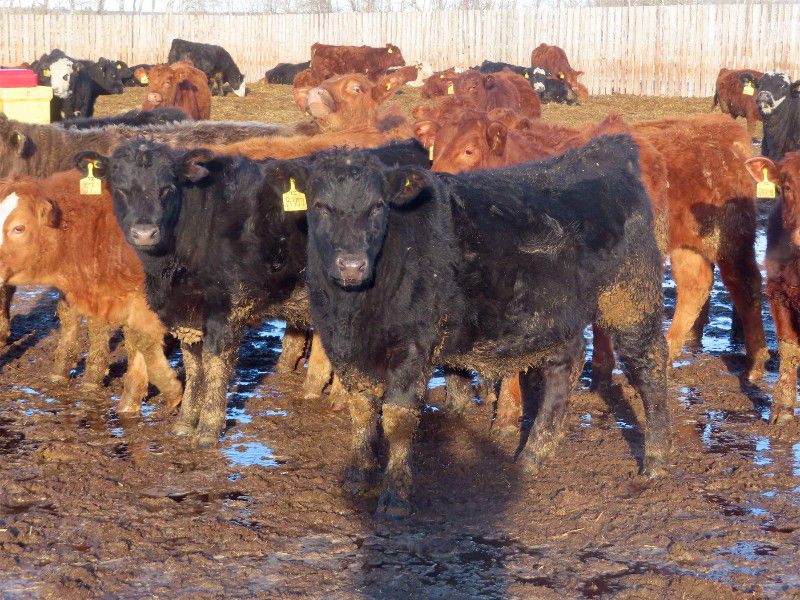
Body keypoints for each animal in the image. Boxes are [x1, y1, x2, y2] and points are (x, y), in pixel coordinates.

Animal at [288, 137, 671, 517]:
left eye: (377, 206)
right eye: (320, 205)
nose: (351, 265)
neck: (353, 311)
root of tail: (607, 151)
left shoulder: (414, 345)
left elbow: (397, 418)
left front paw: (395, 496)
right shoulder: (345, 348)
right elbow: (361, 410)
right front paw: (358, 475)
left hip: (630, 299)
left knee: (649, 366)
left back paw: (656, 461)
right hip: (552, 314)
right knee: (567, 365)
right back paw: (534, 454)